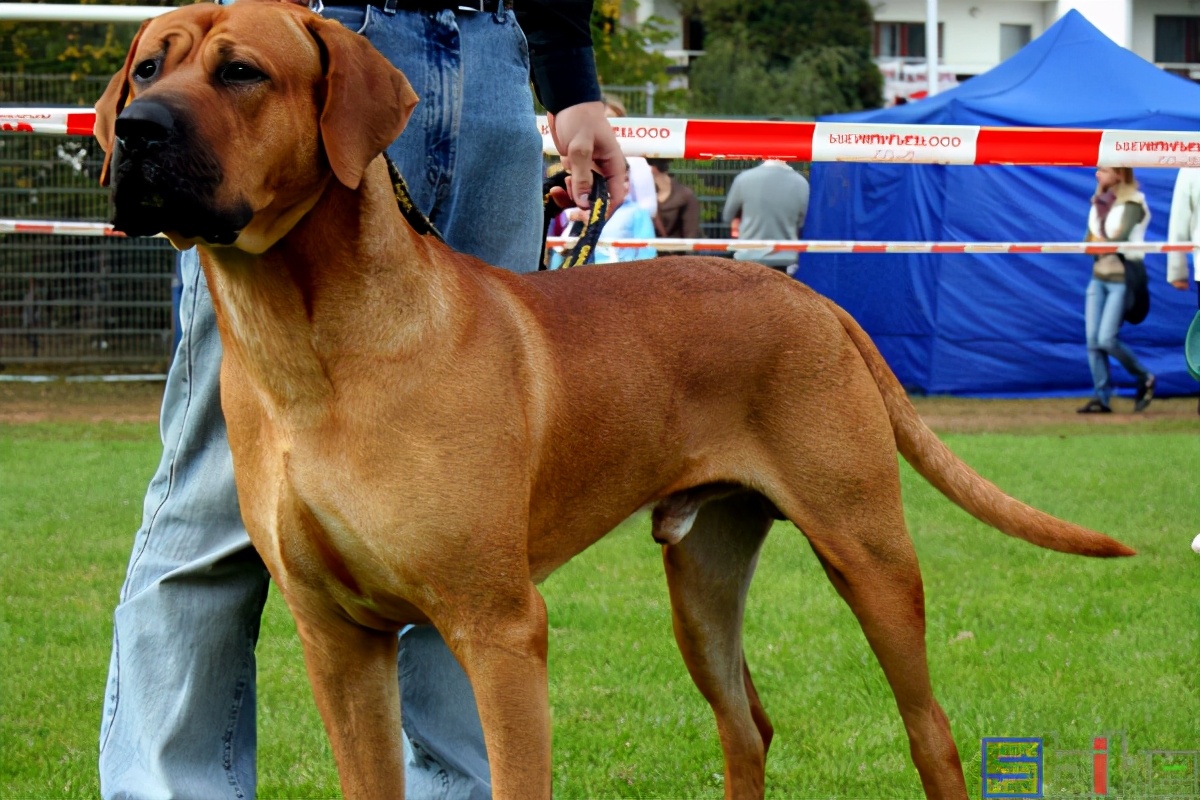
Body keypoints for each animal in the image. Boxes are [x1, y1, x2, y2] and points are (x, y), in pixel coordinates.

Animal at [96, 3, 1132, 796]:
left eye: (241, 72)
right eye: (146, 67)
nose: (136, 129)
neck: (306, 345)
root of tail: (809, 296)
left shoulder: (501, 629)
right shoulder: (338, 642)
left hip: (868, 553)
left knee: (930, 730)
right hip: (703, 580)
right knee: (748, 726)